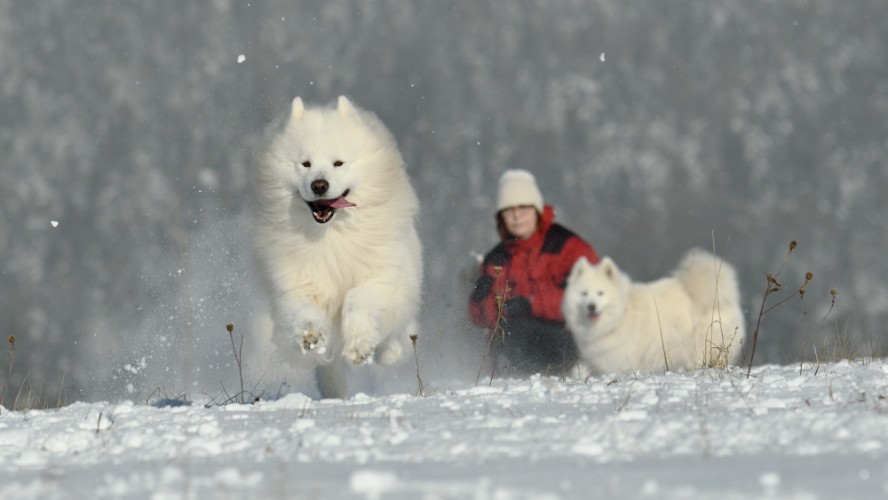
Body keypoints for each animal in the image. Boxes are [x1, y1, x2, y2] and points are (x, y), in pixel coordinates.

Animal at [251, 94, 422, 398]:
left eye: (338, 163)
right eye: (305, 164)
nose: (319, 185)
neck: (331, 237)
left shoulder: (380, 280)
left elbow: (358, 301)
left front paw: (360, 346)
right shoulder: (296, 285)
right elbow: (303, 312)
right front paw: (310, 335)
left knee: (400, 334)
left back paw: (390, 353)